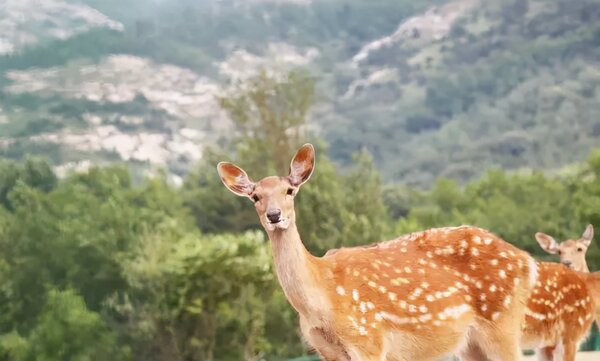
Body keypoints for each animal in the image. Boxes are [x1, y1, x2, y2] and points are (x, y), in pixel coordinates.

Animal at [217, 143, 540, 360]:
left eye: (289, 191)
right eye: (255, 196)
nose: (274, 215)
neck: (321, 300)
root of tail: (528, 262)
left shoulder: (368, 337)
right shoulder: (326, 349)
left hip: (502, 323)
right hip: (471, 342)